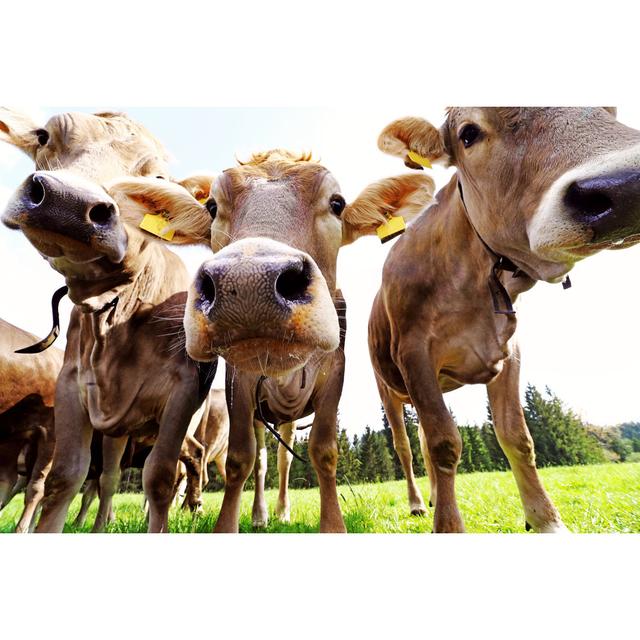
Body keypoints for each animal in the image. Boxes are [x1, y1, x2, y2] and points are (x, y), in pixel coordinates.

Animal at [110, 149, 438, 528]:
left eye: (337, 203)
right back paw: (260, 515)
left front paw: (332, 525)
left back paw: (282, 510)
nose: (247, 284)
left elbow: (324, 450)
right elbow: (241, 458)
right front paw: (228, 525)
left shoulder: (334, 373)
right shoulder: (239, 381)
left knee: (283, 458)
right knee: (264, 459)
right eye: (212, 207)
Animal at [368, 109, 640, 528]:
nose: (626, 186)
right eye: (468, 134)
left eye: (609, 110)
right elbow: (444, 443)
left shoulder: (507, 351)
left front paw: (546, 521)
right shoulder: (414, 353)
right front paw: (448, 527)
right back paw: (417, 503)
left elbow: (516, 436)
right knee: (406, 446)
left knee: (423, 444)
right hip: (389, 390)